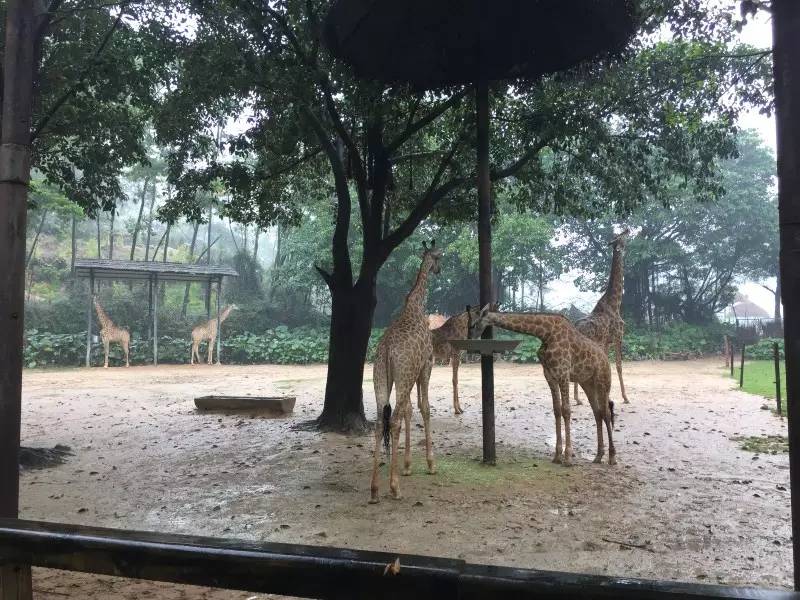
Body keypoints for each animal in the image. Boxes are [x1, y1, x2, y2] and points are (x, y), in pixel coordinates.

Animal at [370, 239, 444, 502]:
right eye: (439, 257)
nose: (438, 270)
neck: (416, 305)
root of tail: (387, 352)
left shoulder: (413, 373)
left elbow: (411, 410)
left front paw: (408, 465)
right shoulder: (426, 365)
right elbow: (425, 408)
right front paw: (430, 464)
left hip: (381, 378)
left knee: (380, 422)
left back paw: (374, 490)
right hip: (403, 376)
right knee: (393, 421)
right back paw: (394, 488)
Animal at [466, 308, 616, 466]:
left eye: (473, 324)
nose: (469, 343)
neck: (545, 334)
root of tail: (606, 359)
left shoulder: (563, 374)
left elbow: (566, 410)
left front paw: (568, 458)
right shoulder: (550, 376)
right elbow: (557, 410)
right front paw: (557, 456)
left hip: (603, 382)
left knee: (606, 413)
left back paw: (612, 457)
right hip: (587, 384)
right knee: (597, 413)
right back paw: (598, 456)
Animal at [576, 227, 632, 406]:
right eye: (620, 236)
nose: (627, 228)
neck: (615, 304)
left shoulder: (606, 341)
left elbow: (607, 365)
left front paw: (607, 396)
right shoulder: (618, 337)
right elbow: (619, 365)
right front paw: (625, 397)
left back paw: (578, 399)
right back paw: (578, 399)